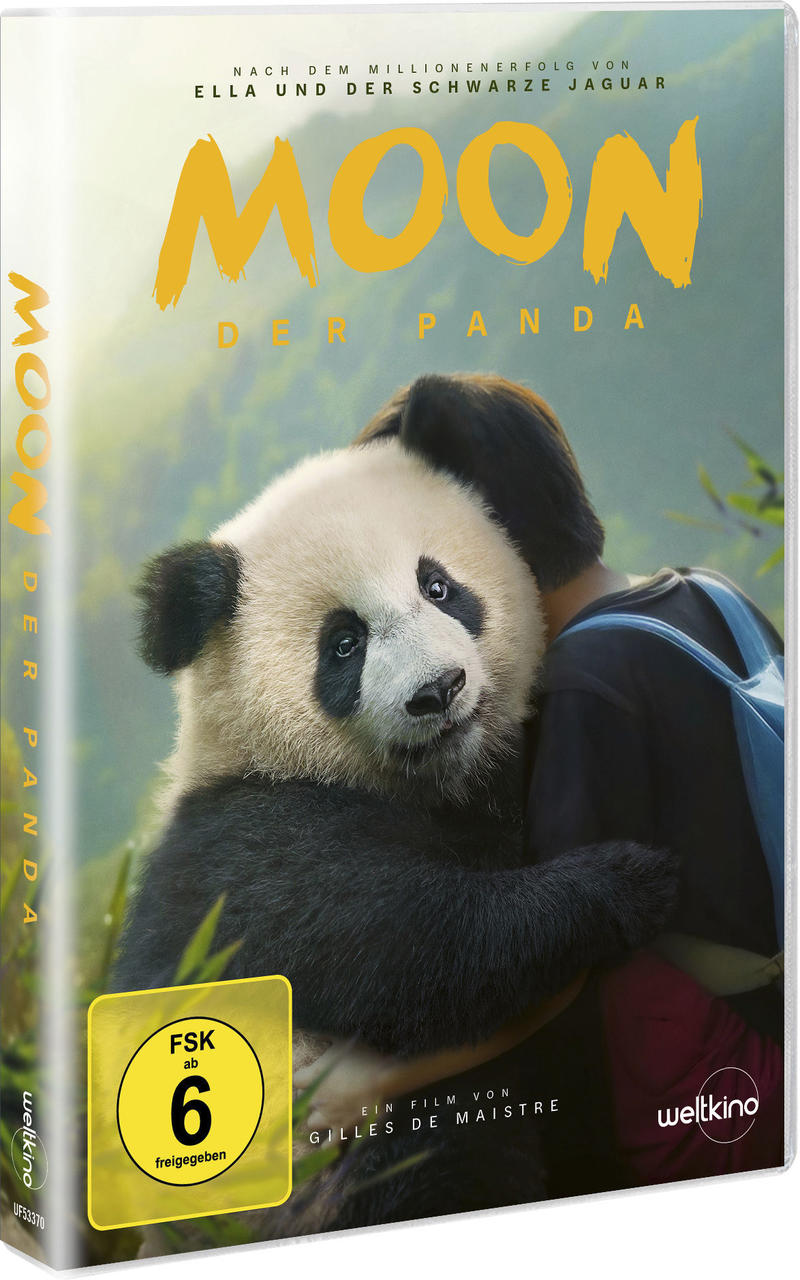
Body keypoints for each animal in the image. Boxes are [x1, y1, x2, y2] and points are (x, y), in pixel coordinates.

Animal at [113, 434, 676, 1231]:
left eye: (437, 586)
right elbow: (400, 939)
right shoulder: (245, 843)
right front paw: (624, 882)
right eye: (344, 644)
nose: (438, 690)